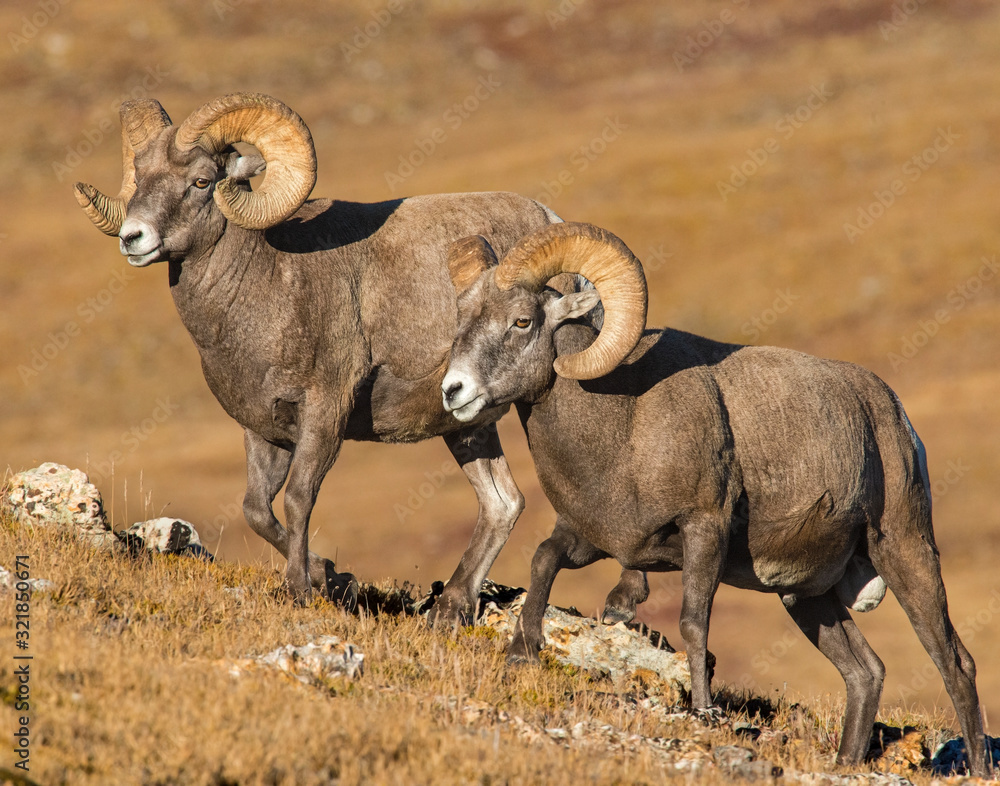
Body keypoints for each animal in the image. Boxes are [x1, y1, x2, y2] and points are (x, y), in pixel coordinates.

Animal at [73, 90, 617, 620]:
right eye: (140, 173)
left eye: (202, 181)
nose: (133, 238)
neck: (266, 286)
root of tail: (549, 218)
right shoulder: (263, 430)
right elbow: (256, 509)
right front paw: (332, 577)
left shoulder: (324, 413)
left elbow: (298, 499)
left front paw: (302, 589)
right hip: (467, 426)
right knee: (503, 503)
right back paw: (451, 609)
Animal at [439, 221, 990, 775]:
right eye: (461, 322)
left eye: (522, 321)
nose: (453, 391)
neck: (624, 424)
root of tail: (895, 416)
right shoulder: (595, 539)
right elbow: (543, 560)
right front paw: (522, 652)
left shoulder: (704, 530)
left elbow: (693, 621)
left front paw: (703, 710)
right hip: (806, 597)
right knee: (866, 672)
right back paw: (845, 765)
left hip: (904, 551)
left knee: (954, 663)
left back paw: (980, 769)